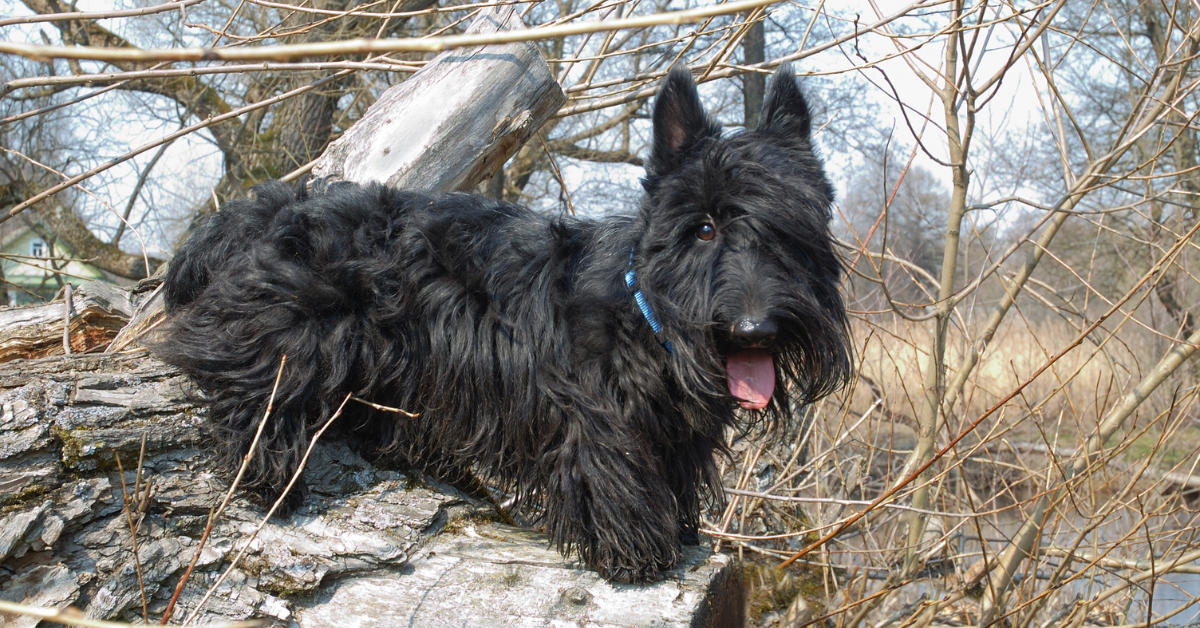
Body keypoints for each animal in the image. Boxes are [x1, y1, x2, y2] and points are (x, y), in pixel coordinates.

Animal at [154, 65, 854, 585]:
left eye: (793, 225)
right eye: (704, 227)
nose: (755, 329)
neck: (644, 309)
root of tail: (272, 206)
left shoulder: (676, 435)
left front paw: (679, 530)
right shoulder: (594, 415)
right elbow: (615, 475)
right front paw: (635, 553)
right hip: (296, 325)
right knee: (247, 371)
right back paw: (263, 463)